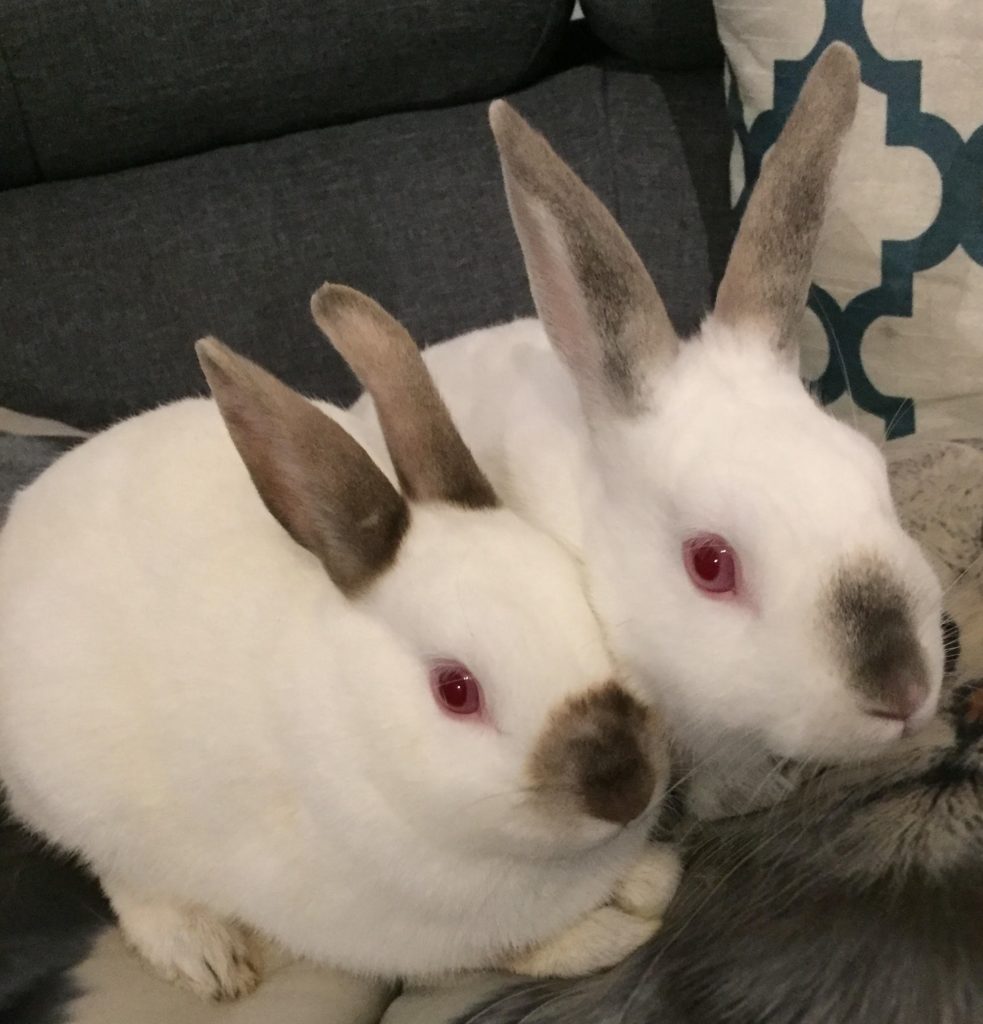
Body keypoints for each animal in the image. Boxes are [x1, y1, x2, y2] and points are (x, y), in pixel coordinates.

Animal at [0, 284, 679, 1002]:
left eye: (580, 598)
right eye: (455, 690)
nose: (625, 787)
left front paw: (643, 879)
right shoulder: (406, 939)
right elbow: (526, 950)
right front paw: (623, 925)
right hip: (83, 803)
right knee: (127, 877)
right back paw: (204, 956)